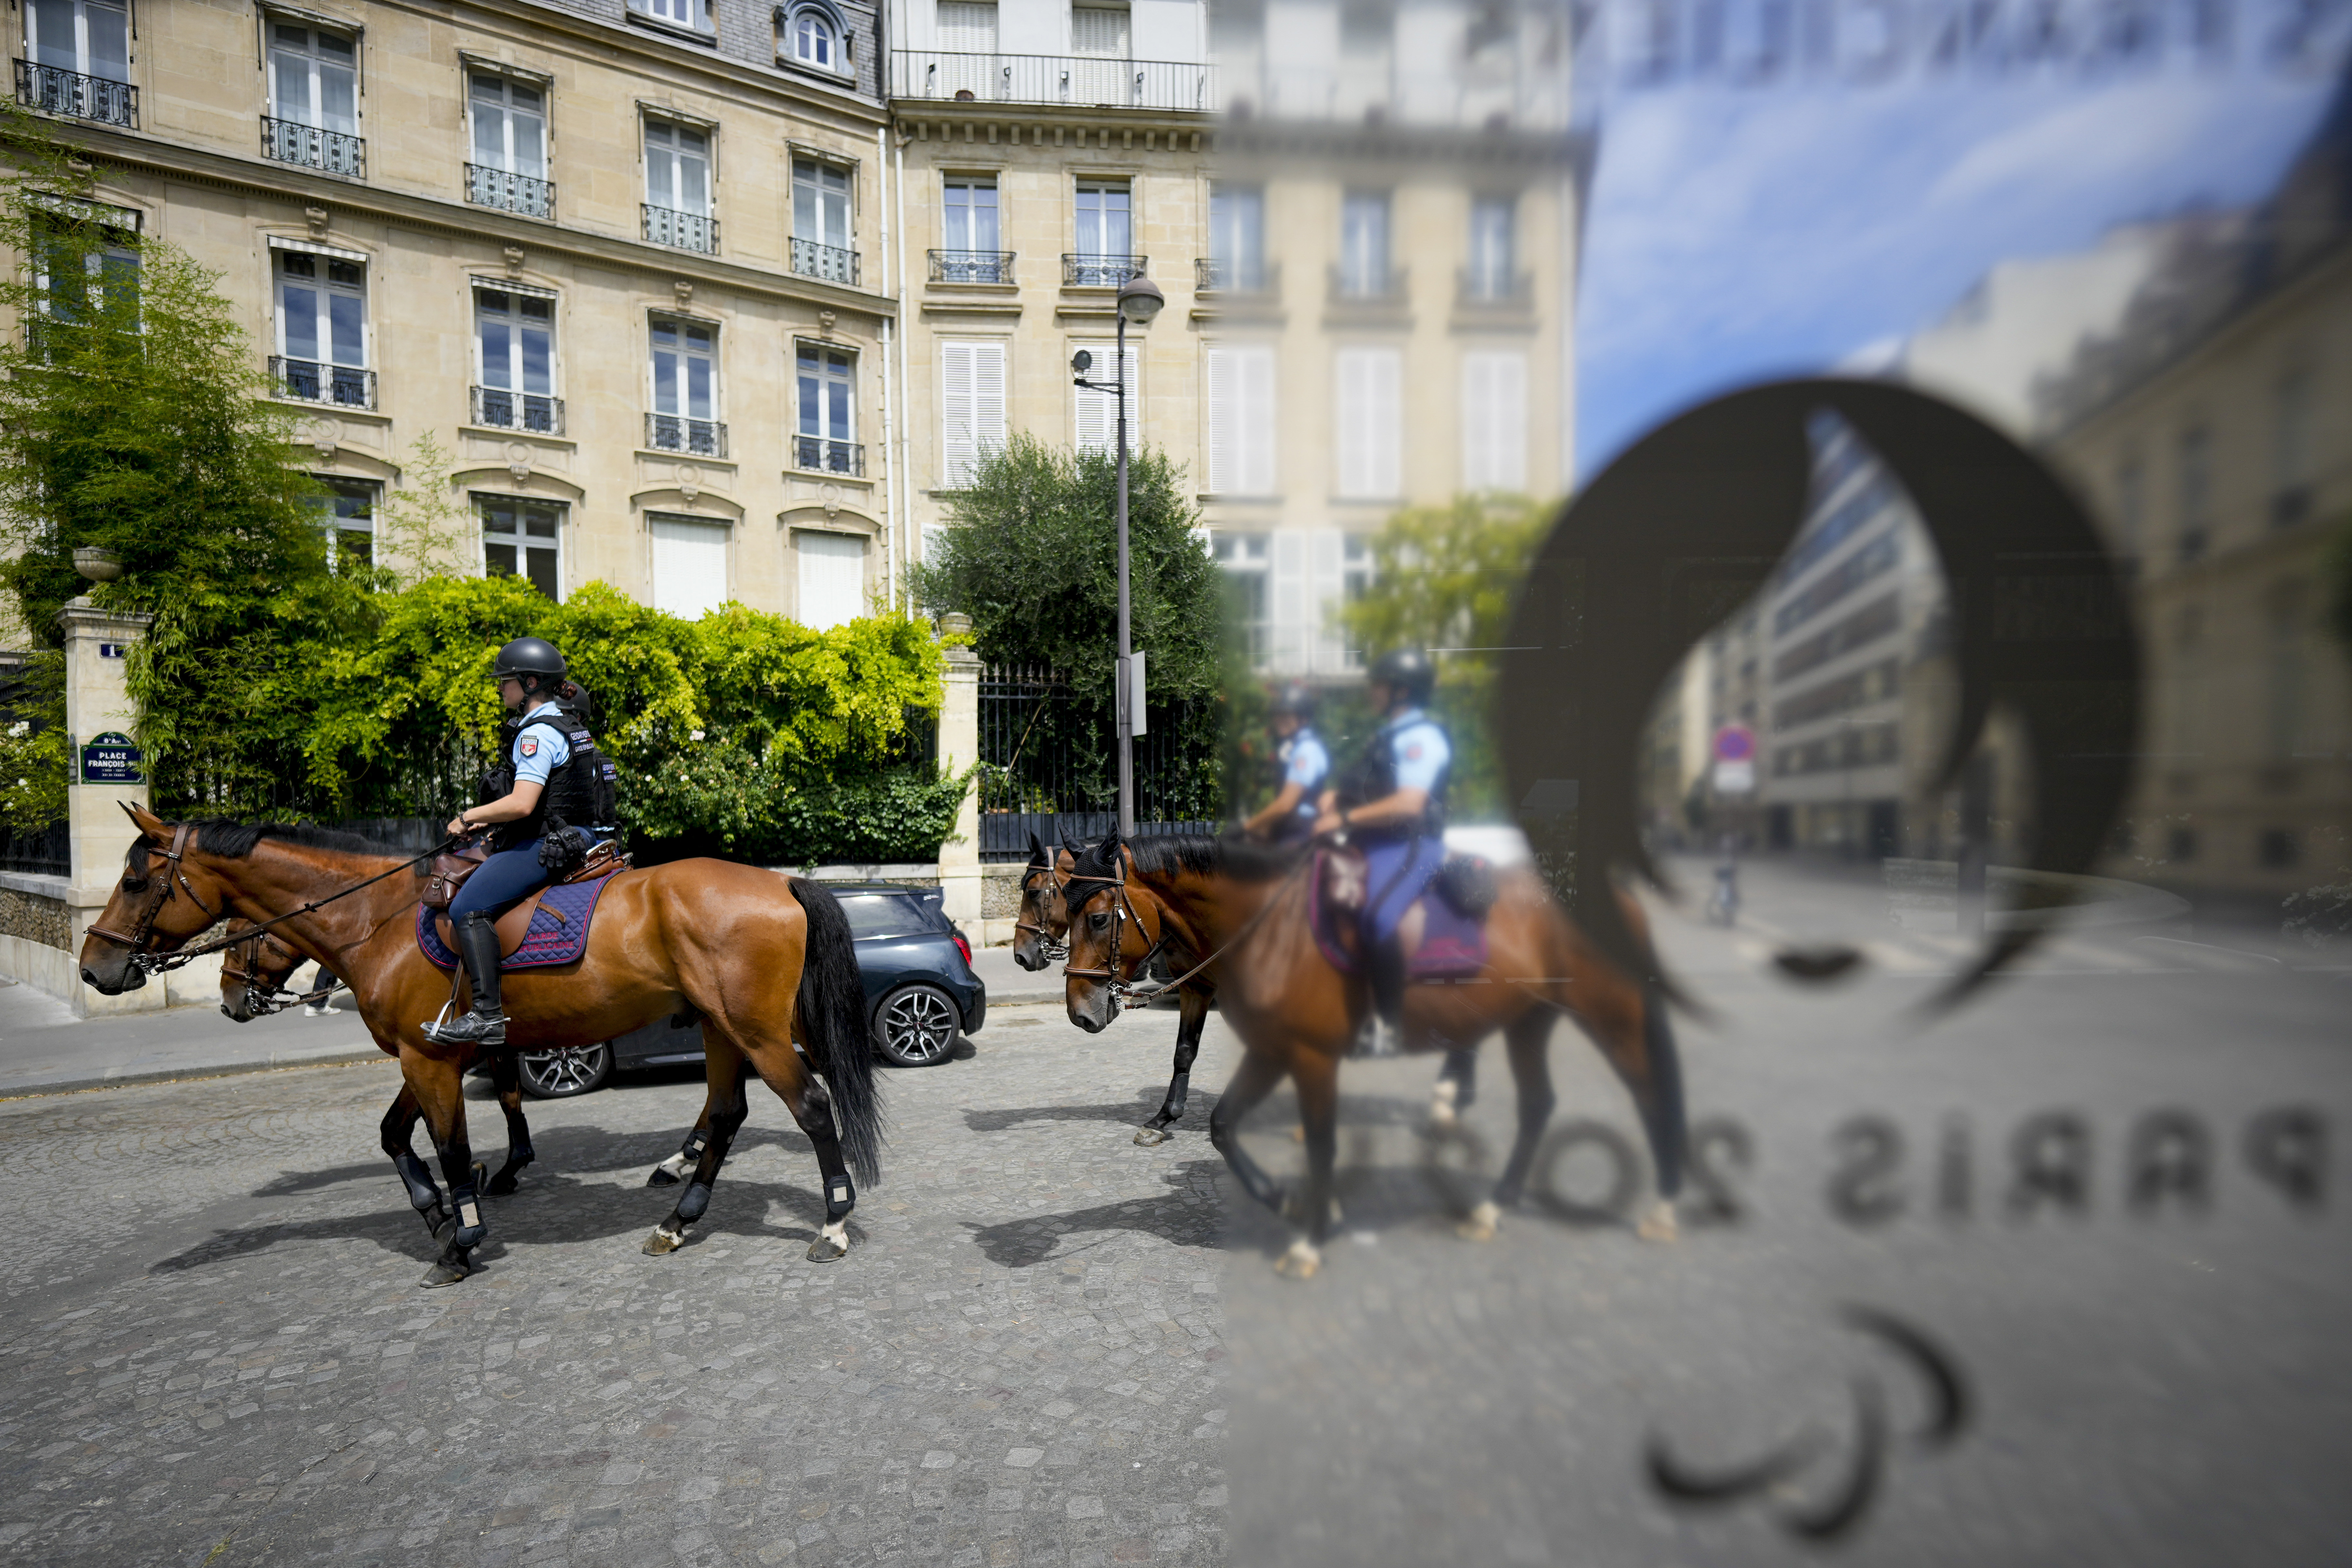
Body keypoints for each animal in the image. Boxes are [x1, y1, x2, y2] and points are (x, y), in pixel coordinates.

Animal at [85, 809, 884, 1288]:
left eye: (134, 879)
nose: (96, 967)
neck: (376, 918)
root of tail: (781, 881)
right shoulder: (428, 1054)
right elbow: (396, 1135)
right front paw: (439, 1212)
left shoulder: (432, 1060)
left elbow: (447, 1144)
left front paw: (462, 1233)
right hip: (722, 1027)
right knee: (723, 1115)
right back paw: (676, 1221)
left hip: (756, 1030)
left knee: (812, 1107)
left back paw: (833, 1223)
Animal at [1058, 832, 1684, 1279]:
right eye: (1064, 911)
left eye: (1097, 917)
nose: (1081, 1012)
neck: (1272, 931)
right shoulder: (1272, 1050)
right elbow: (1224, 1126)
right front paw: (1292, 1204)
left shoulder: (1311, 1056)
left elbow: (1321, 1142)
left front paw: (1311, 1238)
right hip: (1528, 1021)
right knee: (1537, 1105)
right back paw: (1491, 1208)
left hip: (1611, 1013)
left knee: (1648, 1091)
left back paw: (1663, 1209)